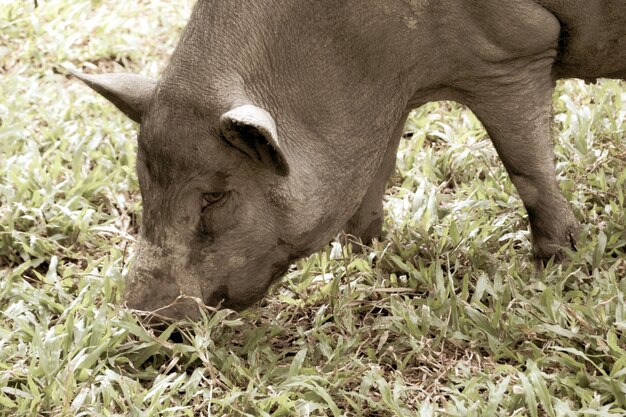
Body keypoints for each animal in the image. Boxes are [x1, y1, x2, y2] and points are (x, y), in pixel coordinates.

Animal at [70, 0, 620, 318]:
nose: (141, 317)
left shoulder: (511, 53)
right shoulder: (388, 99)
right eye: (143, 185)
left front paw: (557, 262)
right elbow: (374, 175)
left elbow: (526, 166)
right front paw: (368, 254)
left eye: (214, 196)